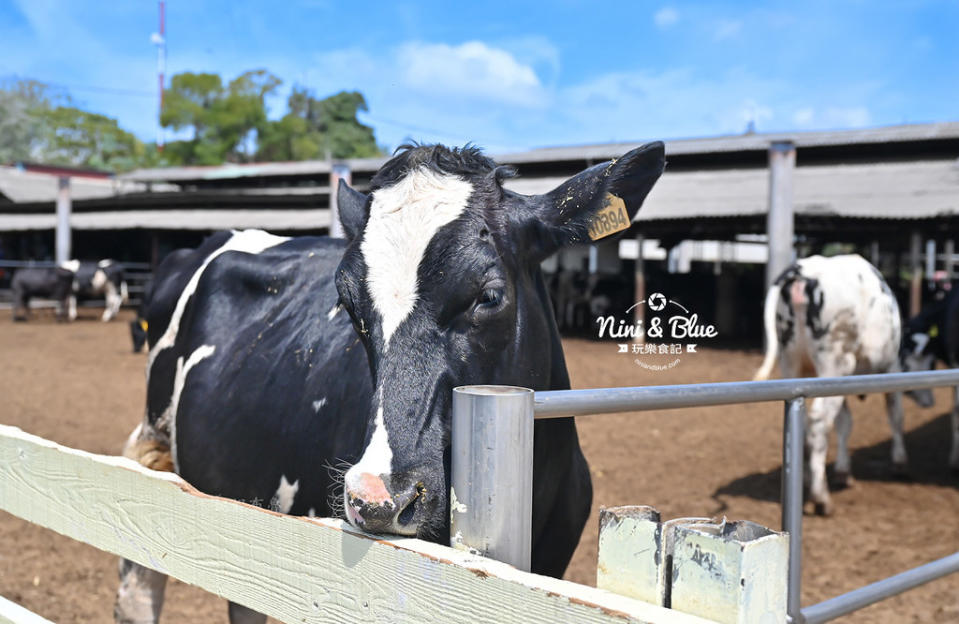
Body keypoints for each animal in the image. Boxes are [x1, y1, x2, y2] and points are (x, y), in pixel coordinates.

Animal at [752, 254, 904, 516]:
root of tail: (802, 269)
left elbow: (845, 423)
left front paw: (843, 471)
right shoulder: (890, 366)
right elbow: (894, 413)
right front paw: (899, 461)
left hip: (791, 363)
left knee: (806, 422)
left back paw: (806, 479)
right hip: (835, 363)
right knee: (819, 420)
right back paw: (821, 496)